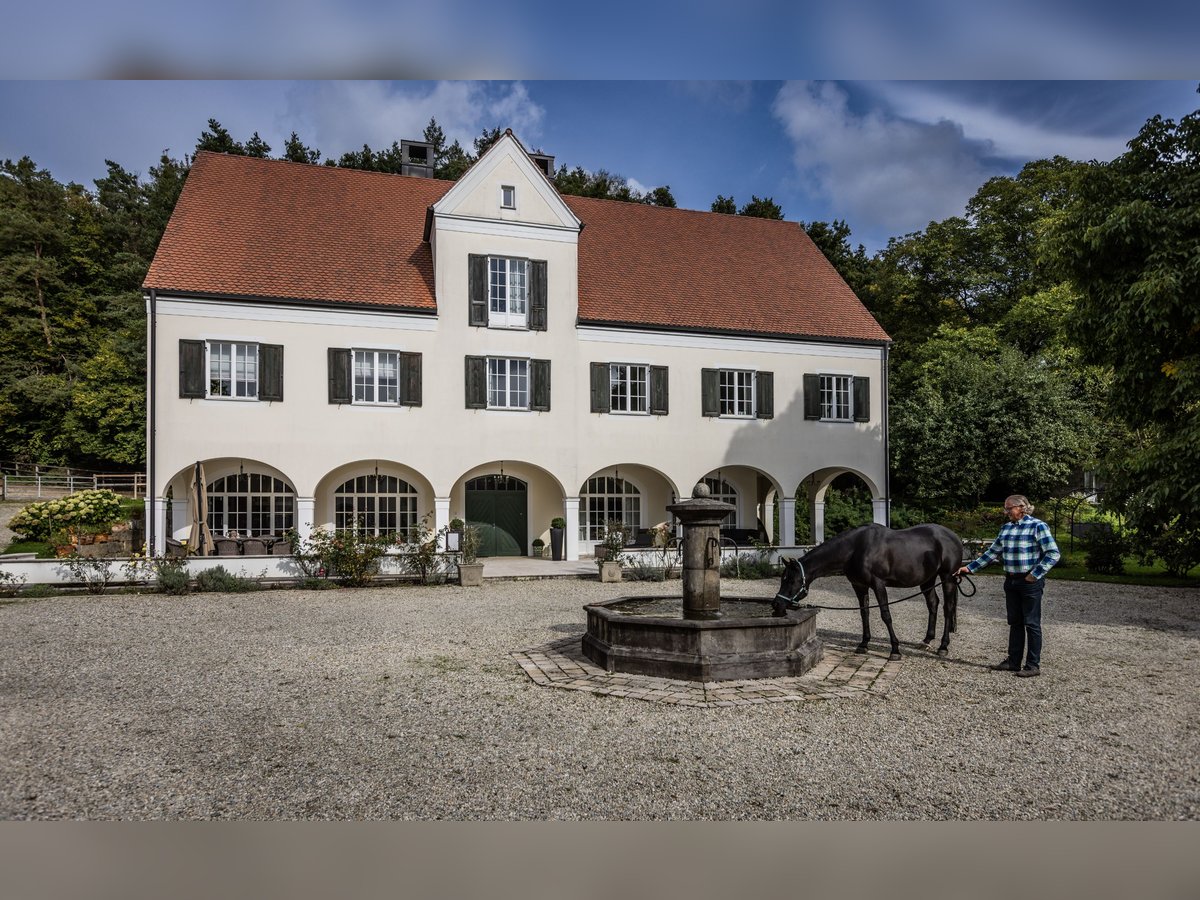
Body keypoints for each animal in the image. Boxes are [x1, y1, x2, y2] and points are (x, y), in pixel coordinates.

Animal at [777, 520, 964, 662]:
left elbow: (885, 615)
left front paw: (895, 650)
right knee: (933, 604)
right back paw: (927, 640)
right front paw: (863, 644)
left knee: (947, 608)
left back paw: (943, 646)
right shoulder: (859, 586)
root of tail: (954, 537)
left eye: (791, 580)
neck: (855, 549)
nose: (777, 604)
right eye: (782, 579)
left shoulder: (878, 584)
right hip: (927, 580)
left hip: (947, 578)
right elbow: (864, 613)